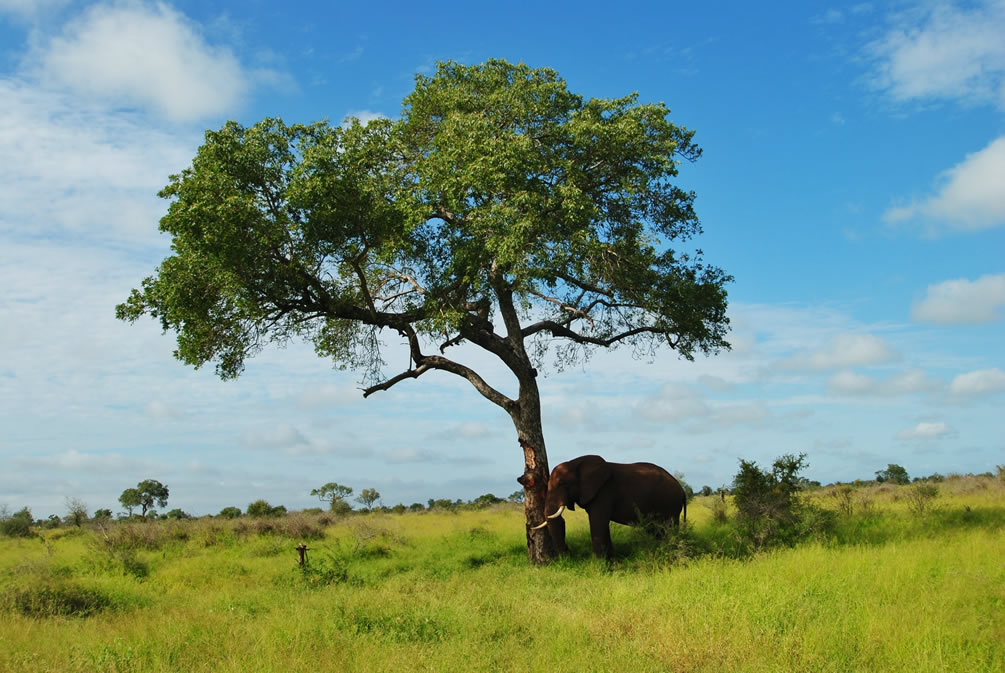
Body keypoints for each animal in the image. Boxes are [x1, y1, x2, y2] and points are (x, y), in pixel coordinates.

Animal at [530, 456, 687, 562]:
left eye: (562, 483)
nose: (570, 556)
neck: (576, 463)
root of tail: (682, 490)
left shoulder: (604, 492)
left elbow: (598, 523)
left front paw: (599, 564)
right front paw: (611, 560)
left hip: (670, 503)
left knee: (669, 528)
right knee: (657, 530)